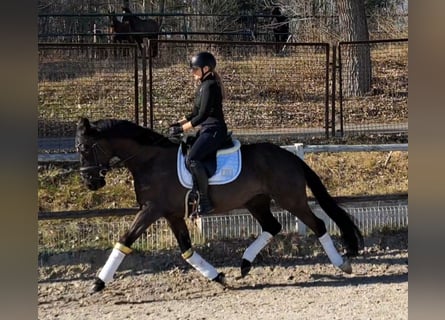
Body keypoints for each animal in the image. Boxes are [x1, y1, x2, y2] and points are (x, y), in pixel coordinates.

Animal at [74, 118, 362, 292]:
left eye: (85, 148)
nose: (90, 182)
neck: (150, 160)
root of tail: (288, 156)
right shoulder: (172, 214)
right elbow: (186, 250)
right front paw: (218, 276)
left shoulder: (151, 210)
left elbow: (124, 240)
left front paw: (98, 283)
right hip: (256, 201)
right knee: (273, 226)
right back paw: (244, 264)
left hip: (290, 199)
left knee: (318, 224)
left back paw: (342, 264)